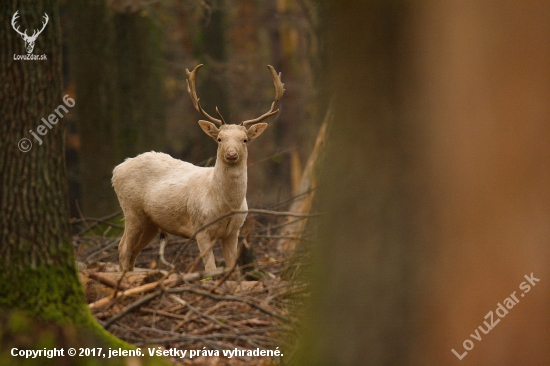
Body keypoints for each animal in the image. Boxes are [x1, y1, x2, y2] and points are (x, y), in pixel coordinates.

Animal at [112, 65, 284, 272]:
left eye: (244, 140)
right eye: (220, 139)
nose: (231, 154)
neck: (225, 205)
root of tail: (117, 169)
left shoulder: (233, 231)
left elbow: (232, 270)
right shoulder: (200, 228)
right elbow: (211, 270)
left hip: (150, 222)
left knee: (133, 252)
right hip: (132, 211)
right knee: (123, 247)